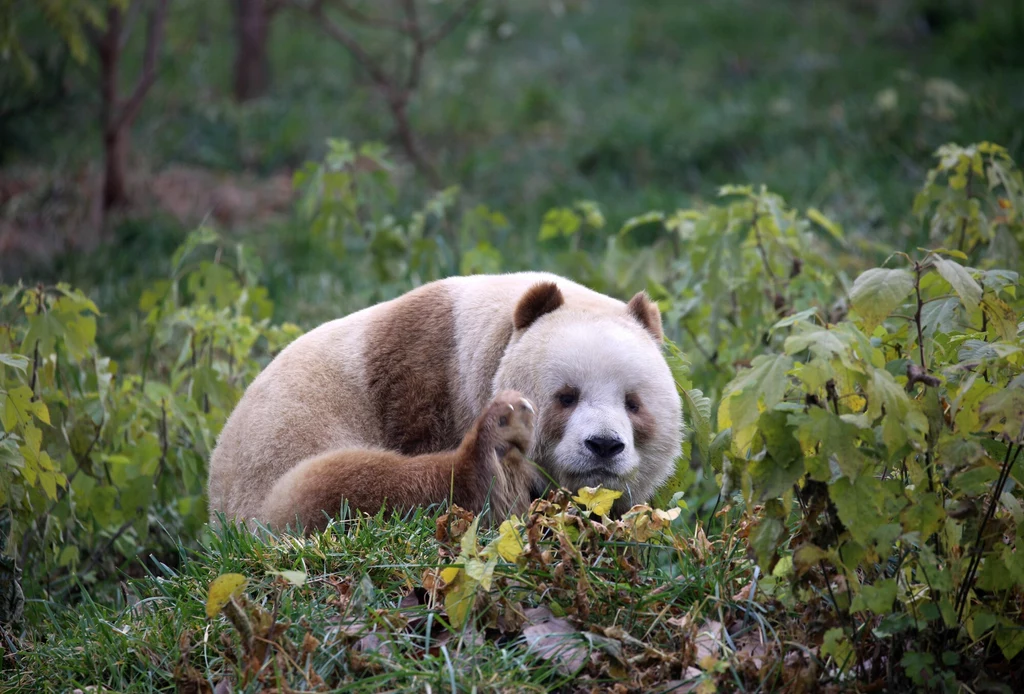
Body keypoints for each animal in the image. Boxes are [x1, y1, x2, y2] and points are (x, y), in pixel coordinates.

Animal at [207, 272, 684, 532]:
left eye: (633, 404)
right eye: (566, 396)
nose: (603, 445)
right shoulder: (424, 376)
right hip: (273, 478)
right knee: (340, 488)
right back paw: (492, 461)